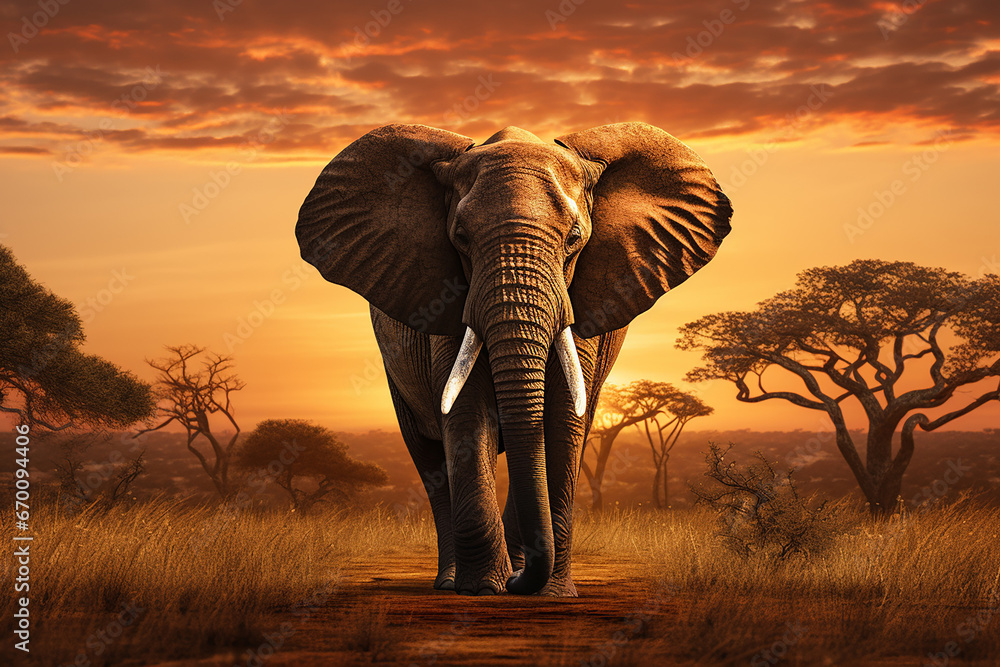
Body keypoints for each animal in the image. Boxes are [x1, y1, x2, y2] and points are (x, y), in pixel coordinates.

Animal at [295, 122, 732, 596]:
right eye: (460, 238)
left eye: (574, 239)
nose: (518, 583)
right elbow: (466, 414)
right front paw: (483, 589)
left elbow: (563, 419)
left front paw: (551, 594)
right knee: (429, 458)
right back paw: (453, 582)